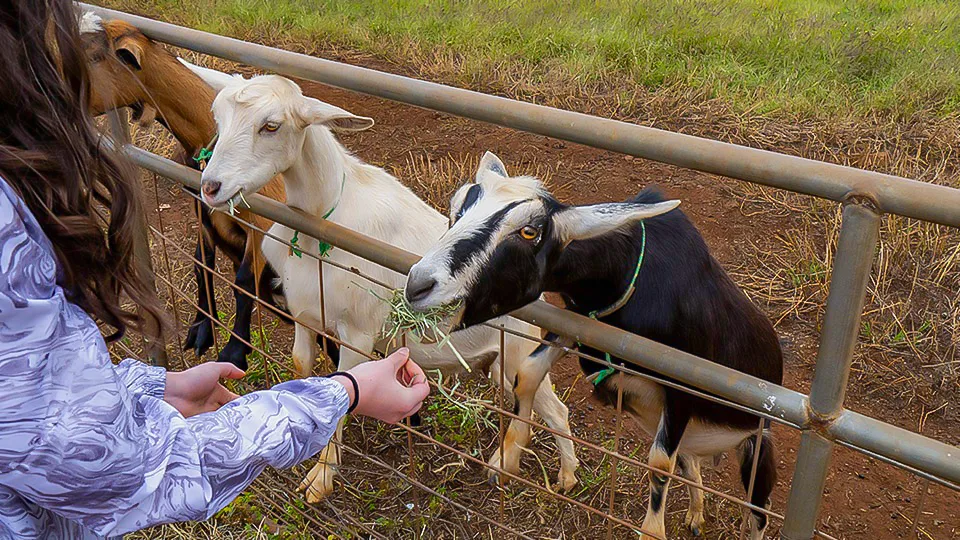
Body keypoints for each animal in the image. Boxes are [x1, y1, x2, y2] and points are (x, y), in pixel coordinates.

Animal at [83, 16, 290, 372]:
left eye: (94, 56)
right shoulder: (203, 213)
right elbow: (200, 264)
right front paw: (201, 331)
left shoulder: (262, 226)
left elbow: (243, 282)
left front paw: (235, 351)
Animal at [185, 61, 580, 504]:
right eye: (219, 118)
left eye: (271, 126)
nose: (210, 187)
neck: (324, 219)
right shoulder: (305, 313)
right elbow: (304, 367)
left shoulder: (358, 332)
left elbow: (343, 387)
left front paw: (321, 480)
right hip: (496, 362)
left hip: (517, 355)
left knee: (553, 409)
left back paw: (557, 475)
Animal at [404, 152, 788, 540]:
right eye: (457, 208)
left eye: (529, 231)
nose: (418, 285)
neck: (624, 274)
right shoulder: (578, 324)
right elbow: (527, 373)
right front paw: (508, 456)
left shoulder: (684, 382)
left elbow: (659, 463)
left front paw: (652, 531)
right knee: (691, 465)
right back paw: (695, 515)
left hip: (757, 448)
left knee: (758, 511)